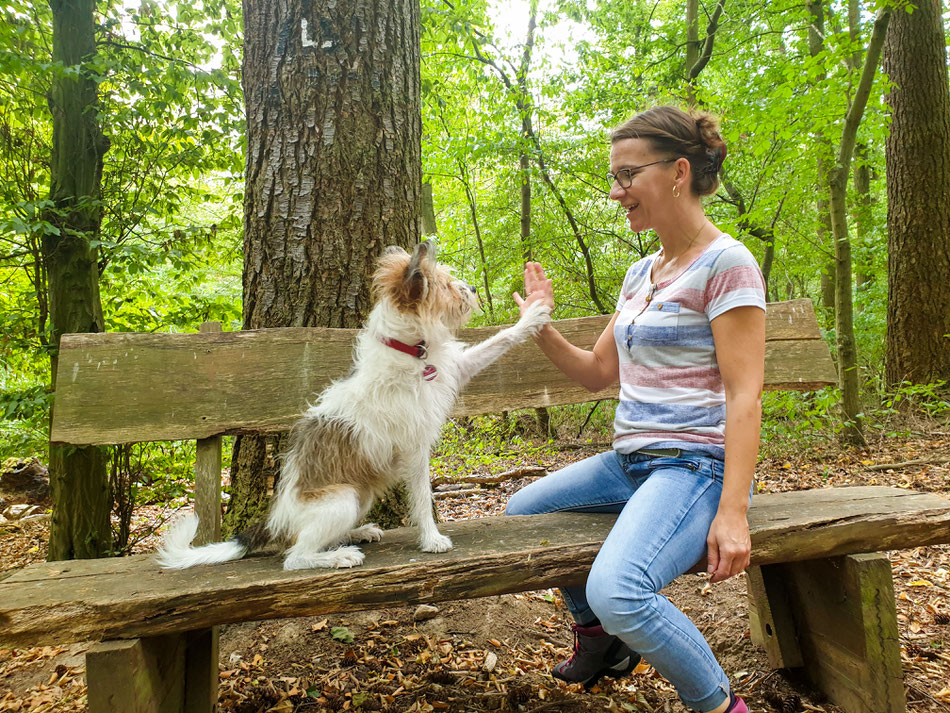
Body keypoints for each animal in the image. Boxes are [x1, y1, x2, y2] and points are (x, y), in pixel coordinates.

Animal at [158, 242, 552, 572]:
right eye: (443, 284)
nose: (470, 288)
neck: (409, 352)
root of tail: (275, 521)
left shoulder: (455, 370)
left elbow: (500, 339)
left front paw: (531, 316)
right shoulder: (414, 449)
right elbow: (422, 498)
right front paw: (432, 539)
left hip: (358, 498)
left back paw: (356, 534)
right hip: (343, 499)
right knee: (295, 558)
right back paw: (339, 555)